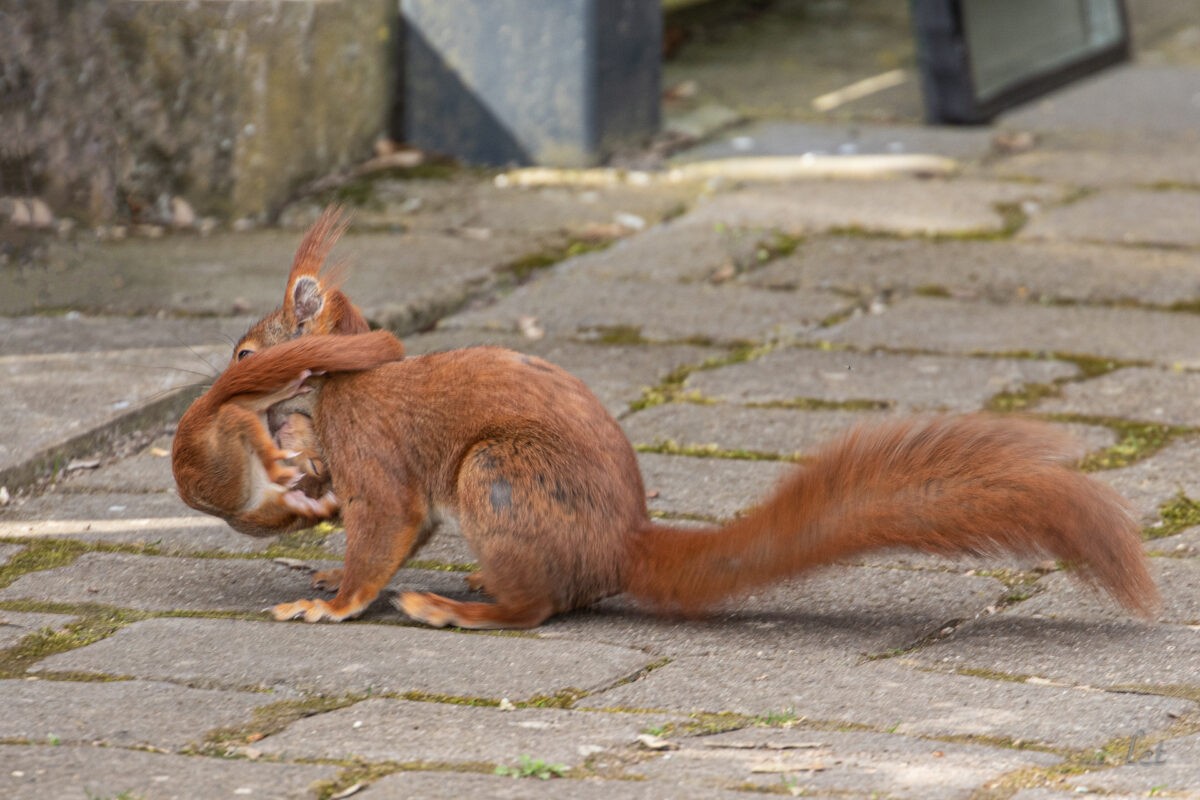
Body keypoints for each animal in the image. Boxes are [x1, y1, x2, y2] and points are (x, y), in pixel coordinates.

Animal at [174, 208, 1156, 633]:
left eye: (244, 353)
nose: (213, 397)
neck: (347, 377)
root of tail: (621, 547)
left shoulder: (378, 453)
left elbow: (386, 530)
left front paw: (333, 602)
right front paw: (310, 520)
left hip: (498, 475)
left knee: (538, 609)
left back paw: (458, 608)